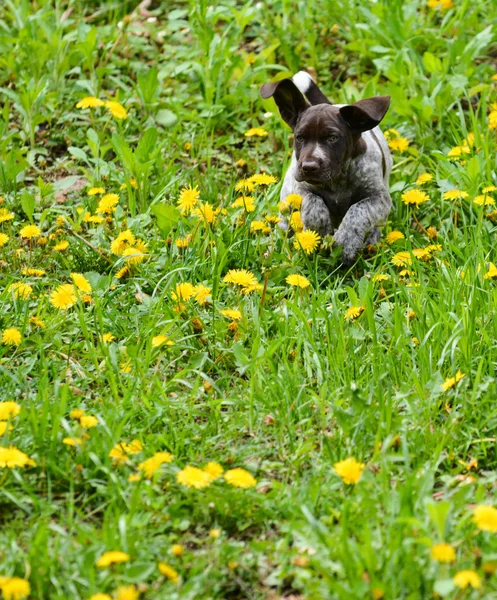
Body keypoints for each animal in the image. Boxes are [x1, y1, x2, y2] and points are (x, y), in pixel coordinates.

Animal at [260, 71, 392, 264]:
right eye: (300, 138)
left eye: (332, 138)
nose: (309, 167)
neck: (337, 180)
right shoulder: (299, 188)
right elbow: (314, 203)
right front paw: (319, 232)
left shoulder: (379, 199)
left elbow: (358, 211)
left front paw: (345, 243)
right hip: (287, 198)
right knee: (284, 224)